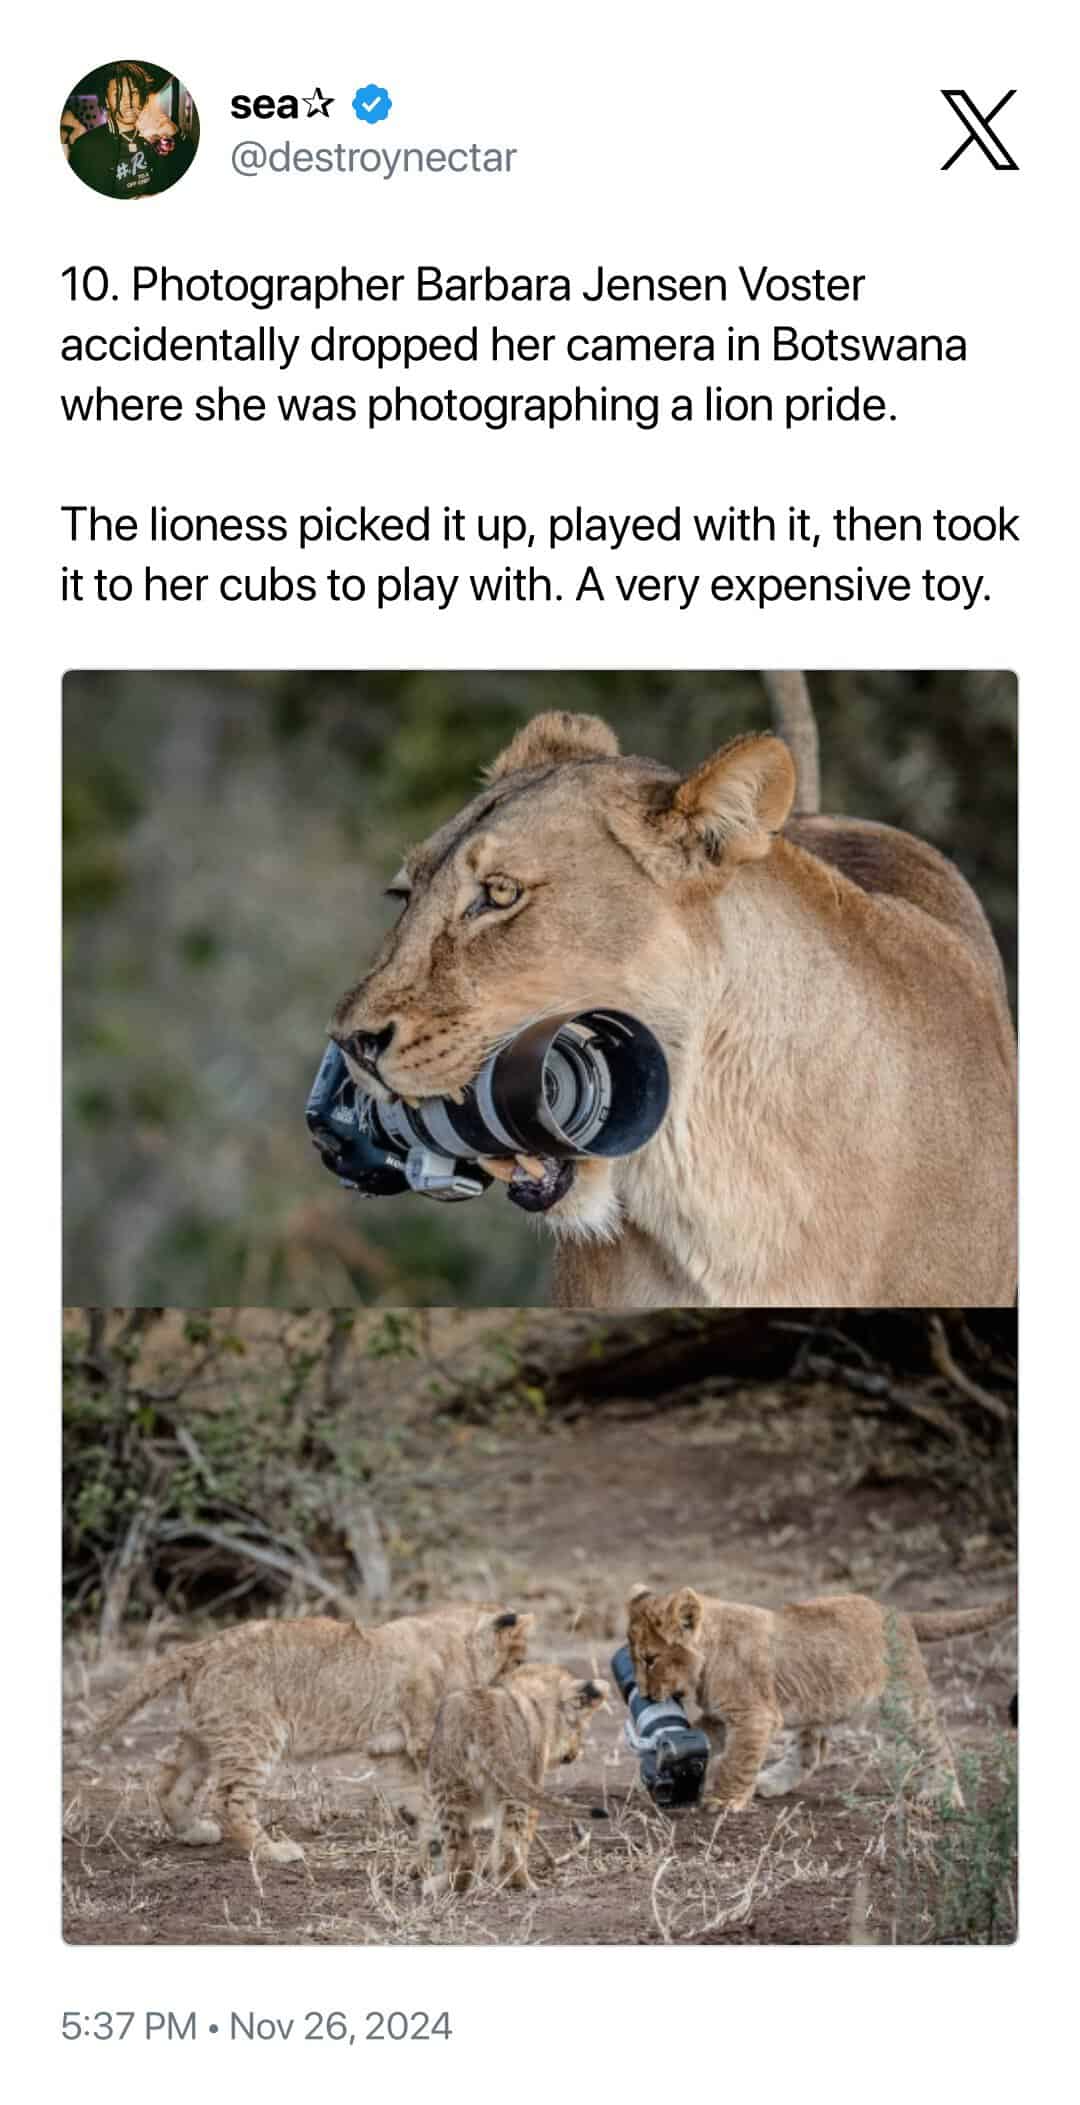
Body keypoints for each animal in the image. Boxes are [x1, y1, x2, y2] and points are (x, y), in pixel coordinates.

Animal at [89, 1602, 532, 1863]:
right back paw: (272, 1851)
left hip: (205, 1737)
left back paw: (193, 1832)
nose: (509, 1691)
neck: (457, 1645)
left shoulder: (388, 1750)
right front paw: (469, 1824)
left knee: (169, 1783)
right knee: (229, 1798)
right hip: (255, 1734)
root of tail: (203, 1647)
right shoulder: (425, 1738)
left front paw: (431, 1831)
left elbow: (414, 1794)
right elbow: (444, 1785)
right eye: (517, 1660)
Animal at [426, 1663, 607, 1893]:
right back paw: (521, 1884)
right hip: (513, 1790)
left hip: (447, 1786)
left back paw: (446, 1887)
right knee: (510, 1846)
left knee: (461, 1851)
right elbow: (525, 1837)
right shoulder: (533, 1781)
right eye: (579, 1730)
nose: (574, 1755)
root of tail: (482, 1718)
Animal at [626, 1584, 1016, 1810]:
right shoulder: (726, 1717)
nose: (643, 1693)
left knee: (936, 1741)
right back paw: (771, 1782)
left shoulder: (754, 1715)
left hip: (904, 1699)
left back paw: (944, 1794)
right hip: (813, 1701)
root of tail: (898, 1612)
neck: (709, 1654)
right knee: (810, 1753)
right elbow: (701, 1735)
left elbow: (738, 1760)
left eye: (650, 1658)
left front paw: (723, 1801)